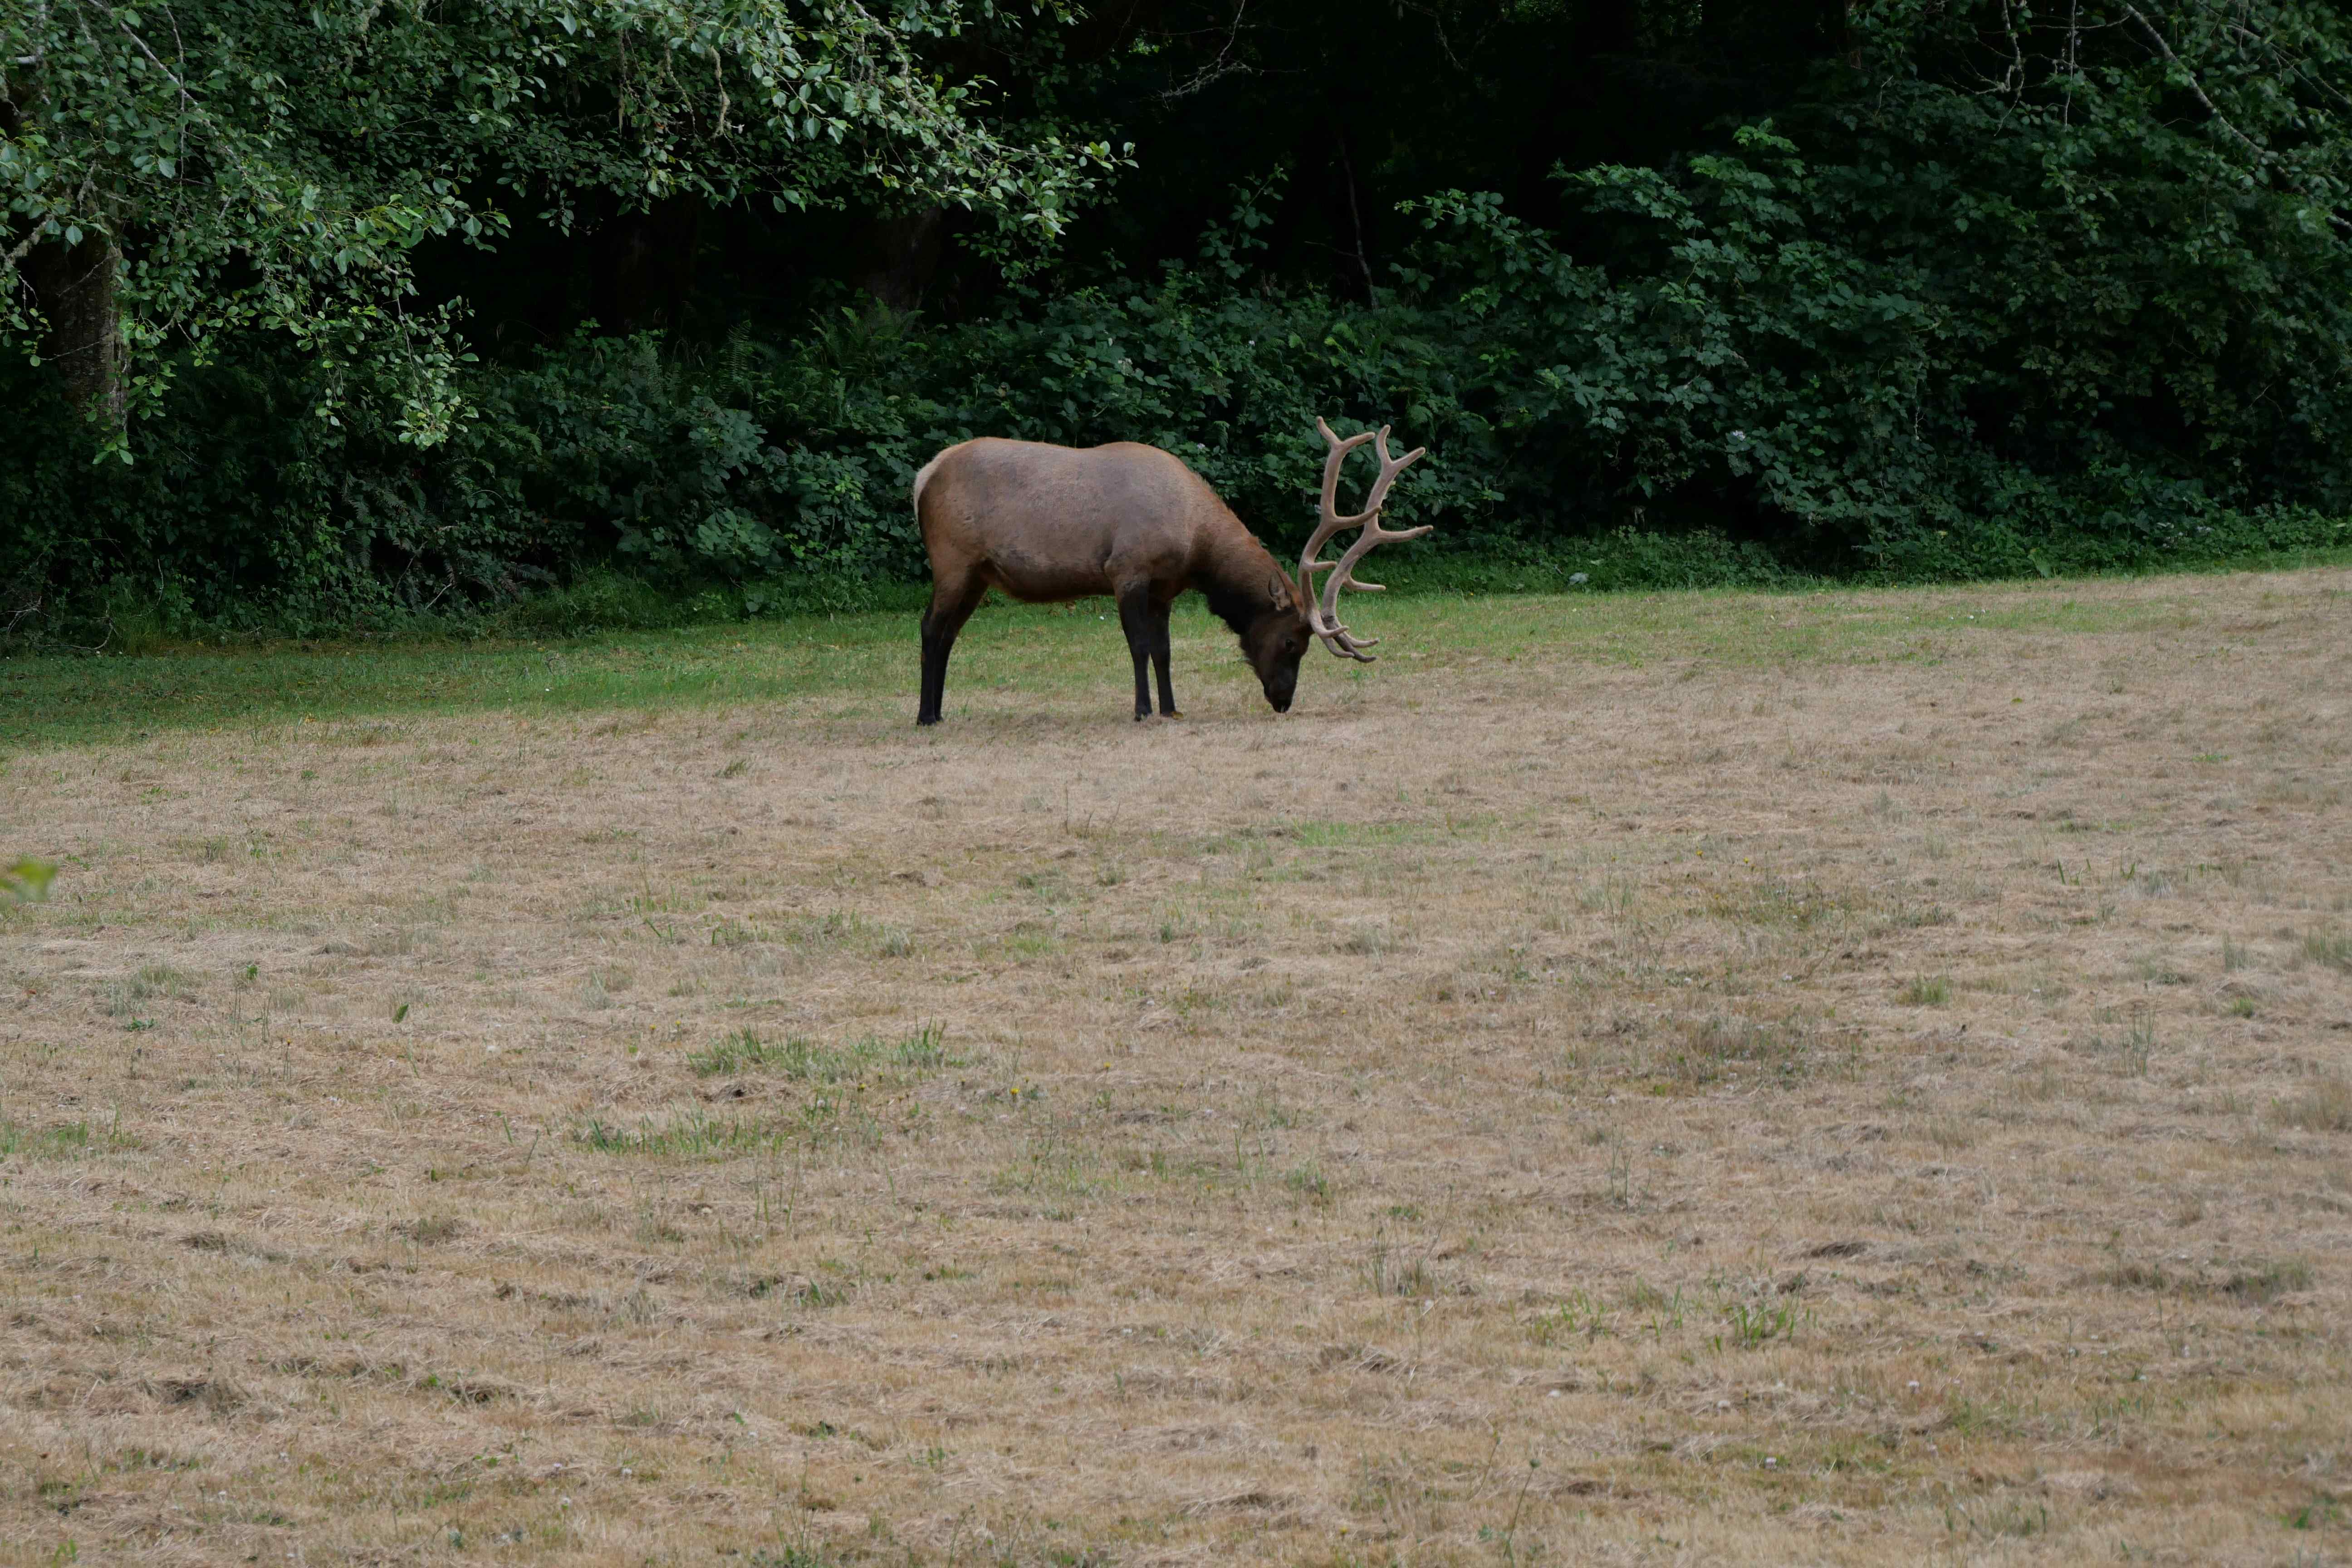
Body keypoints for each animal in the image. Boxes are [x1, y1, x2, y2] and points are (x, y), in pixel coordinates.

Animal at [912, 416, 1430, 724]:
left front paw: (1173, 708)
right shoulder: (1126, 570)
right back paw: (925, 715)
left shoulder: (1165, 588)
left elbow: (1164, 651)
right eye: (1291, 642)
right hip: (952, 560)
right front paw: (1143, 711)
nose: (1283, 701)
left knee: (949, 633)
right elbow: (1139, 647)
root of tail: (923, 476)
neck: (1195, 545)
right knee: (931, 627)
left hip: (979, 575)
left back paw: (939, 711)